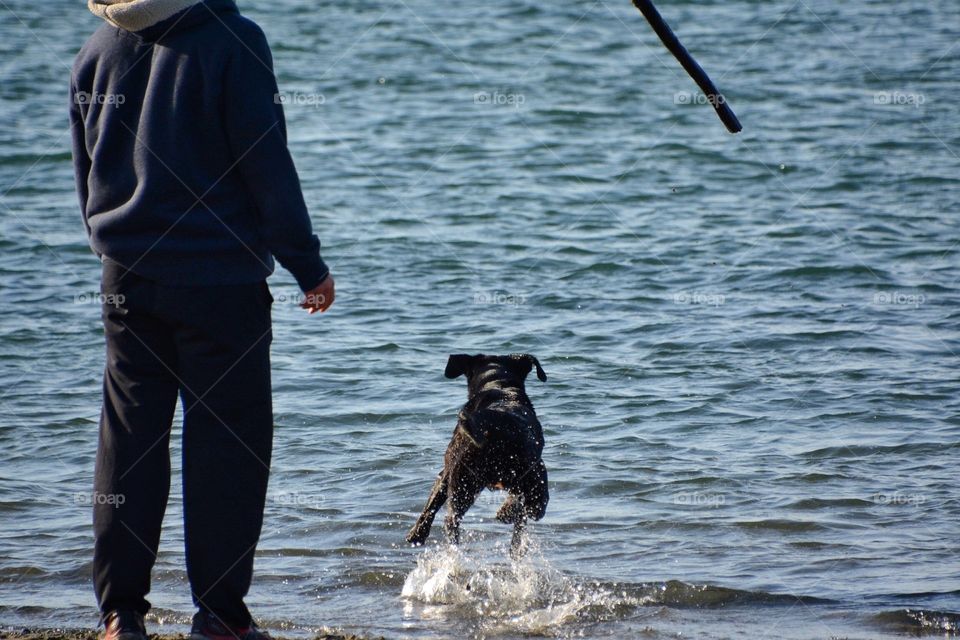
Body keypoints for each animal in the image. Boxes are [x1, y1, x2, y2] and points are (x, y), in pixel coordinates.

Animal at [404, 352, 548, 552]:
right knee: (533, 507)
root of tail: (493, 430)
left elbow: (431, 503)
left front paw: (417, 534)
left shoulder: (445, 474)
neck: (498, 386)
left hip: (465, 481)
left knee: (452, 520)